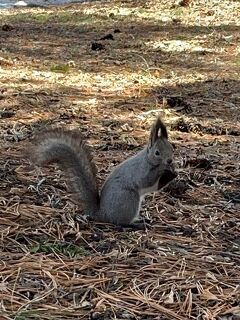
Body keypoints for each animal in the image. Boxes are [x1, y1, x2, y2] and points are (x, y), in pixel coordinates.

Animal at [31, 116, 177, 226]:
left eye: (172, 148)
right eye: (157, 153)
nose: (170, 160)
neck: (147, 160)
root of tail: (102, 214)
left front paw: (174, 172)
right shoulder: (140, 171)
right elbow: (147, 180)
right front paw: (164, 169)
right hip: (128, 199)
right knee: (121, 222)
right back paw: (135, 224)